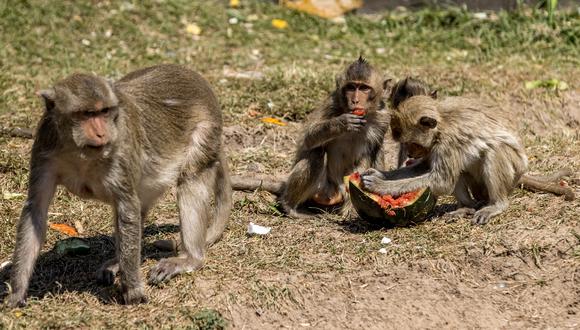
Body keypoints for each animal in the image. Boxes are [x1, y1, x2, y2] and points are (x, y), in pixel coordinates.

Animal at [5, 64, 231, 306]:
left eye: (104, 111)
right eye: (87, 114)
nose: (101, 132)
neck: (79, 151)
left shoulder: (121, 149)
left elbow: (127, 209)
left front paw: (132, 291)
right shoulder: (44, 146)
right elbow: (35, 210)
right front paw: (17, 292)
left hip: (206, 131)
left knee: (190, 178)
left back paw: (190, 259)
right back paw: (118, 262)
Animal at [231, 56, 390, 217]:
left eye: (364, 88)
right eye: (351, 87)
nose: (355, 101)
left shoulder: (383, 118)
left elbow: (373, 151)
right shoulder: (331, 104)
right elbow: (308, 139)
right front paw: (341, 123)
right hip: (322, 191)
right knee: (315, 153)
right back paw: (288, 206)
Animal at [362, 79, 576, 224]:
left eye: (413, 144)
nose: (412, 154)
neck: (441, 124)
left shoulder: (447, 143)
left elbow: (442, 181)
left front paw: (381, 185)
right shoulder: (435, 146)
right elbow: (424, 168)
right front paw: (381, 174)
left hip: (512, 174)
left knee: (495, 151)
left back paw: (497, 205)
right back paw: (467, 208)